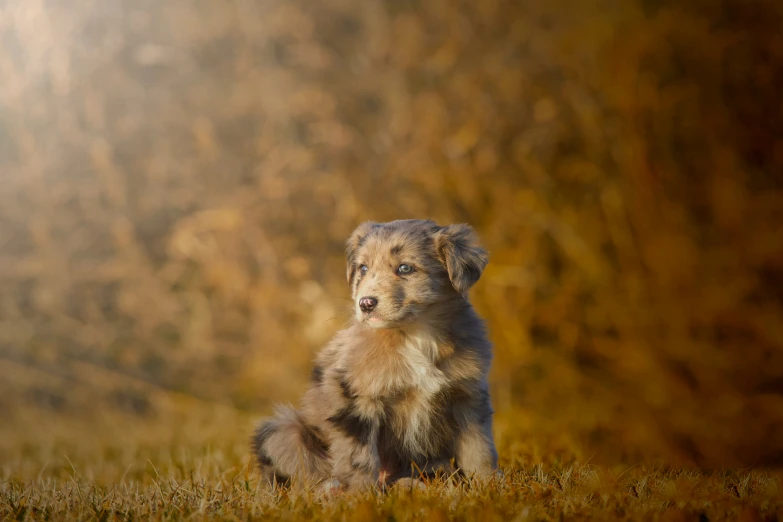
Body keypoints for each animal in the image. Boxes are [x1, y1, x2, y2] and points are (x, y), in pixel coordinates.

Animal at [254, 217, 500, 490]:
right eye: (363, 268)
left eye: (405, 268)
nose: (366, 303)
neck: (415, 334)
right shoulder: (357, 399)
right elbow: (359, 457)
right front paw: (360, 494)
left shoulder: (468, 397)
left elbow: (479, 449)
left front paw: (490, 485)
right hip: (283, 431)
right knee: (306, 476)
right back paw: (329, 489)